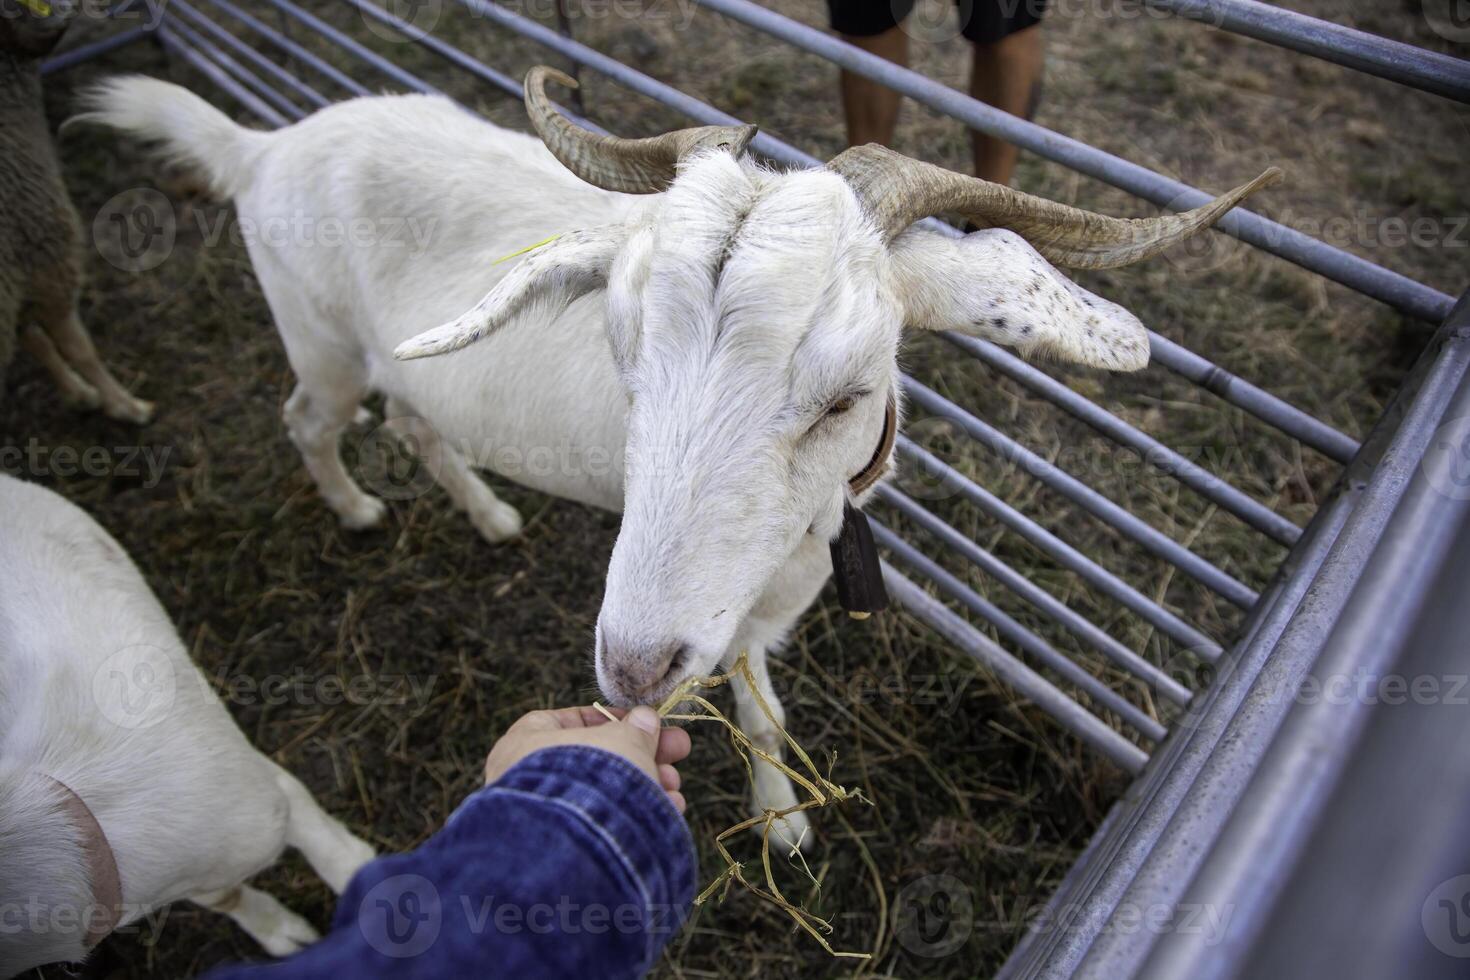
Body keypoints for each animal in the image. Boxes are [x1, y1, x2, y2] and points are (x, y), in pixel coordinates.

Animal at [83, 70, 1275, 846]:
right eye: (622, 352)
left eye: (847, 393)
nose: (630, 669)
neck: (806, 541)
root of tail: (263, 145)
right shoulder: (732, 613)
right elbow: (752, 693)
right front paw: (783, 822)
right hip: (319, 341)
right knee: (304, 418)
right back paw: (355, 508)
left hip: (400, 364)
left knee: (419, 420)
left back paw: (490, 515)